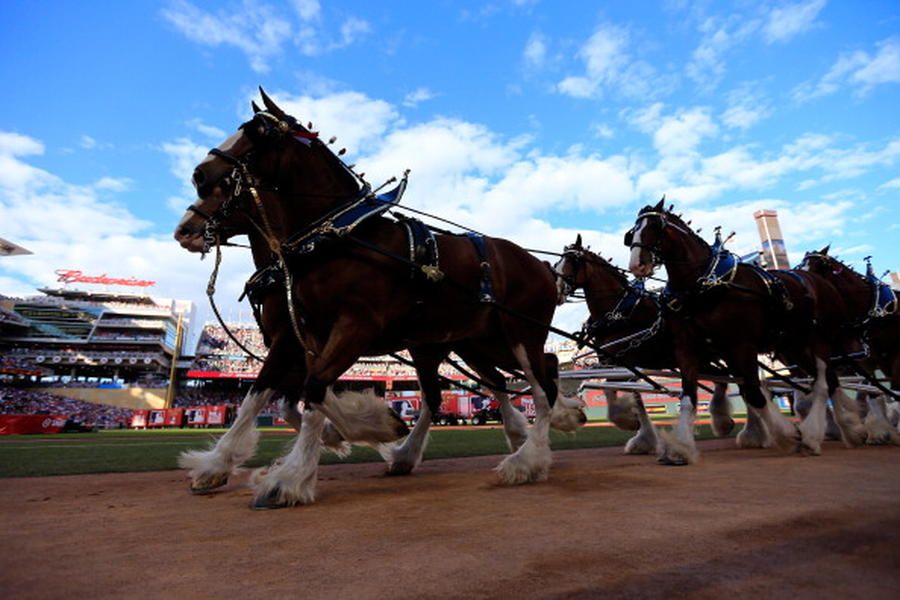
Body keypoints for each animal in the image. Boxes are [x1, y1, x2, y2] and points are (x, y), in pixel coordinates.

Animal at [175, 88, 568, 506]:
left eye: (257, 131)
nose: (199, 175)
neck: (331, 240)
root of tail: (542, 264)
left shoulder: (353, 327)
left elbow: (312, 390)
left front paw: (291, 477)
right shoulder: (300, 336)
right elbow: (268, 396)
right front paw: (218, 465)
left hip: (518, 333)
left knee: (541, 384)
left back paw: (527, 458)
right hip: (464, 342)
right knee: (476, 385)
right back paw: (421, 452)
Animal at [552, 234, 768, 460]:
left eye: (571, 261)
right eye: (556, 264)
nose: (556, 291)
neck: (620, 312)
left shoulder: (627, 362)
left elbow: (619, 393)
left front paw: (629, 423)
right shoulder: (614, 362)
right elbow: (625, 396)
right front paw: (642, 437)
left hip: (731, 351)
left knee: (742, 384)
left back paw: (750, 431)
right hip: (702, 359)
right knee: (725, 378)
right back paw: (726, 422)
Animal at [624, 199, 864, 462]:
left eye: (654, 227)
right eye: (632, 233)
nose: (637, 265)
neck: (704, 284)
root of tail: (820, 282)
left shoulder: (741, 346)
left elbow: (755, 393)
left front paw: (787, 436)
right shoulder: (688, 348)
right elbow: (690, 398)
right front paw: (681, 448)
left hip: (819, 340)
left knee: (821, 383)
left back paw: (814, 436)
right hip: (795, 347)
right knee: (831, 380)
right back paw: (850, 429)